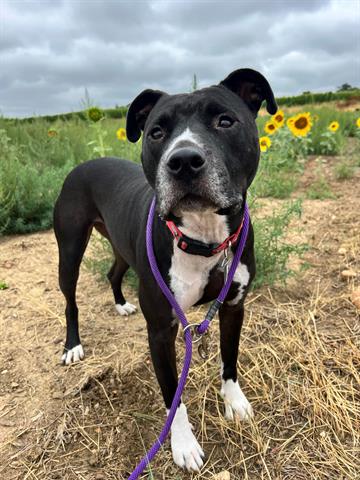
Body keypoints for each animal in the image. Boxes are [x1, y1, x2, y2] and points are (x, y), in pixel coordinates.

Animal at [54, 68, 278, 472]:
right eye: (157, 131)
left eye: (225, 121)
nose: (184, 160)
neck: (204, 238)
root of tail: (84, 165)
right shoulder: (161, 331)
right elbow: (174, 396)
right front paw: (184, 445)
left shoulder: (234, 307)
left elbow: (230, 359)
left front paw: (234, 402)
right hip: (70, 250)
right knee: (70, 301)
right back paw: (73, 345)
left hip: (122, 246)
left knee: (113, 273)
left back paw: (121, 304)